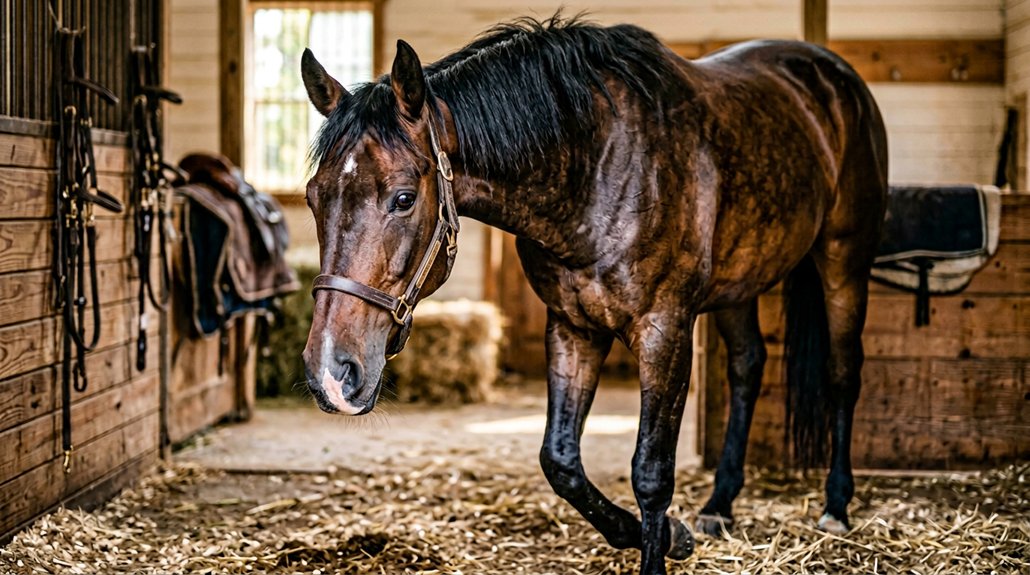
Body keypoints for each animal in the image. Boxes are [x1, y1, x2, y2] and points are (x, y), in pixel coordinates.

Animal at [300, 16, 887, 574]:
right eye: (312, 197)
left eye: (402, 198)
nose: (331, 372)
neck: (596, 168)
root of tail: (833, 74)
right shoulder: (572, 327)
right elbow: (560, 462)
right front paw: (667, 535)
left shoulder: (665, 333)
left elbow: (651, 473)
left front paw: (660, 543)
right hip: (738, 282)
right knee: (748, 367)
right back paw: (719, 507)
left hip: (844, 259)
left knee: (842, 371)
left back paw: (836, 506)